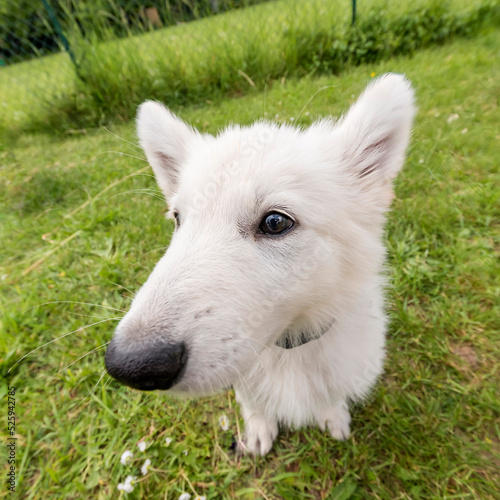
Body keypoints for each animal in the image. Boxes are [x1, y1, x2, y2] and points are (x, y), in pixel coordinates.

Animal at [104, 73, 414, 454]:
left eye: (275, 223)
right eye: (178, 219)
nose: (131, 365)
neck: (288, 348)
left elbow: (330, 395)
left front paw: (333, 416)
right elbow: (252, 401)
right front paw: (259, 428)